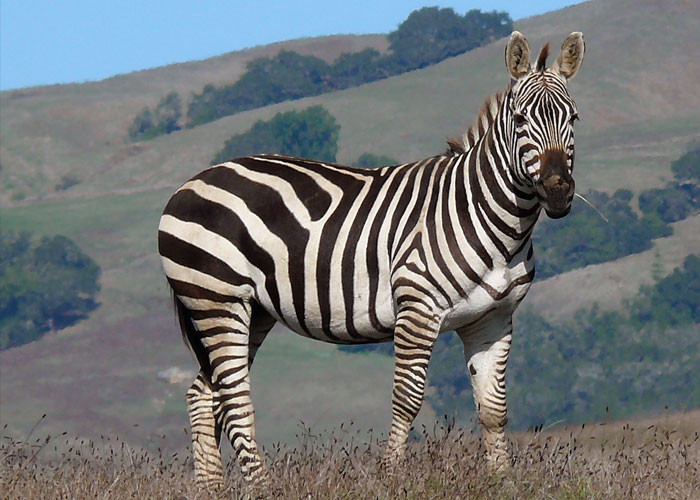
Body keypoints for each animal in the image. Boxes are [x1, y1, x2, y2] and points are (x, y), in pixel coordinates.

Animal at [158, 30, 585, 487]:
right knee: (234, 400)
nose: (558, 191)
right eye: (520, 120)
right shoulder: (417, 309)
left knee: (205, 395)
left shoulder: (492, 320)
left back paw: (212, 488)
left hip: (253, 311)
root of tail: (192, 182)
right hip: (217, 300)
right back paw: (262, 487)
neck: (490, 221)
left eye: (574, 119)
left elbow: (493, 409)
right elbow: (407, 400)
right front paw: (391, 477)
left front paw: (502, 481)